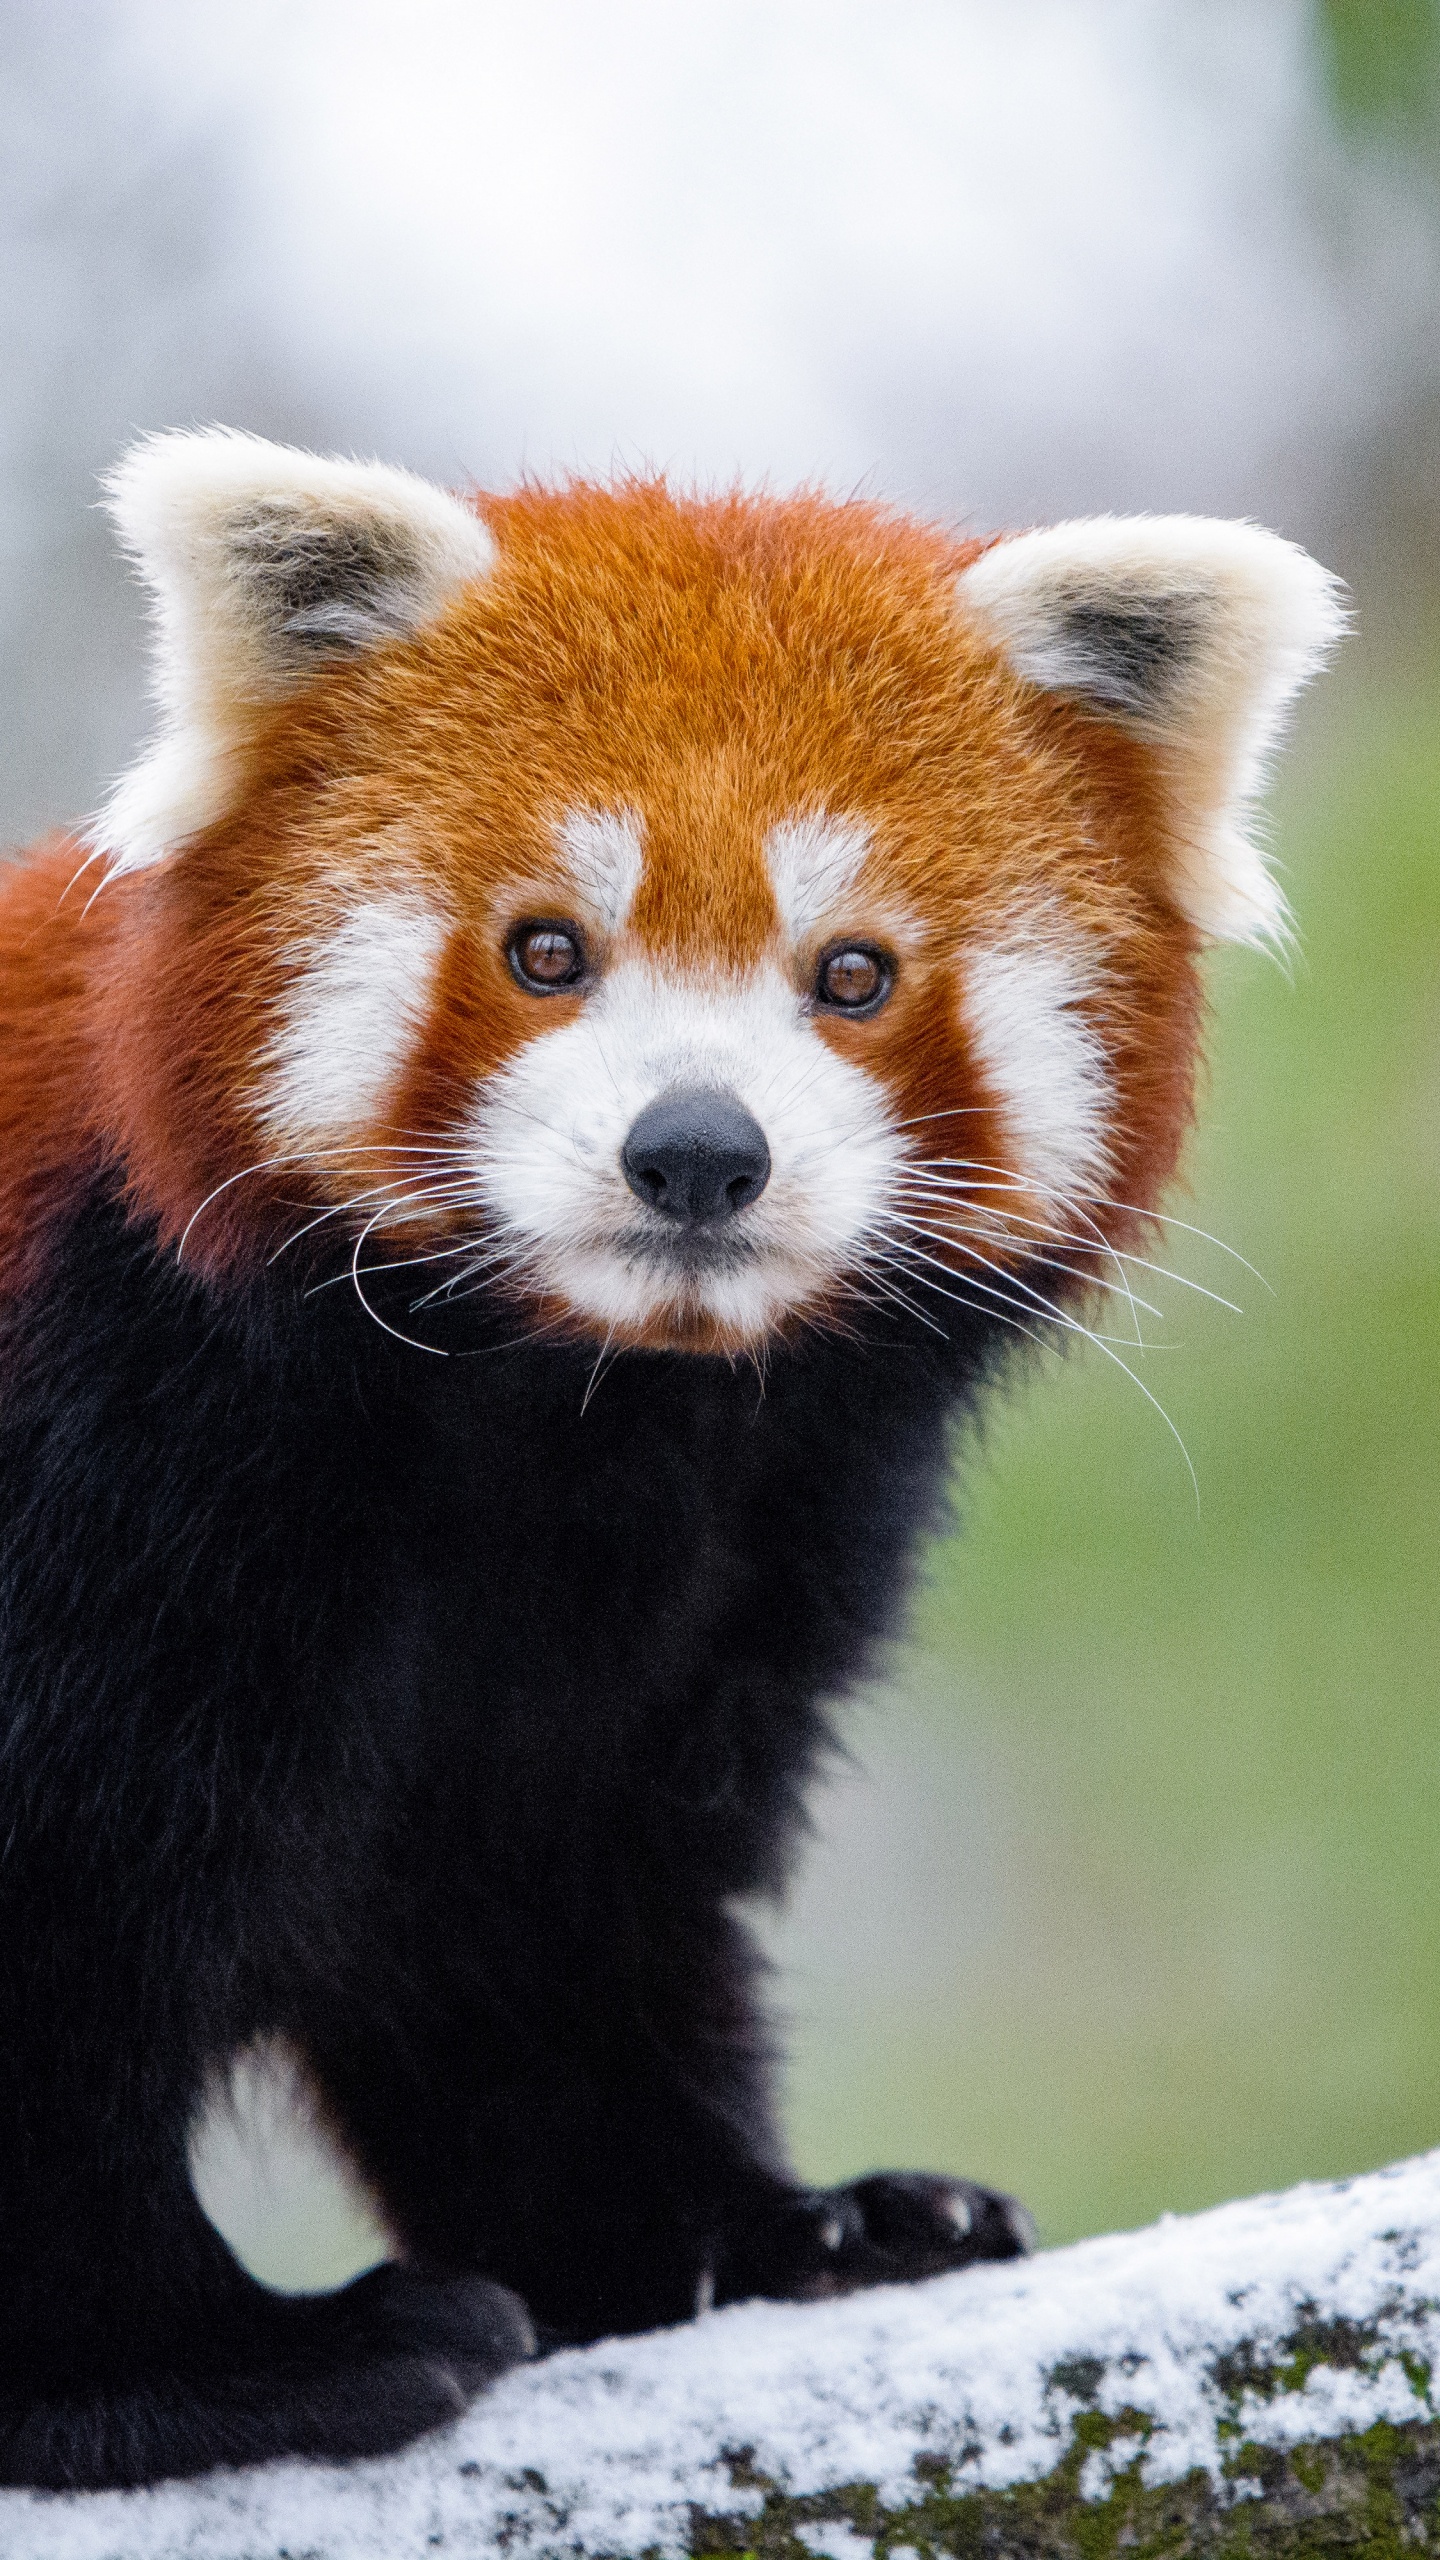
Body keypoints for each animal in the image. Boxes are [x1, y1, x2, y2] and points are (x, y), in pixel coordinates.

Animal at [0, 430, 1332, 2488]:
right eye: (548, 949)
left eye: (853, 975)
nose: (697, 1151)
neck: (583, 1413)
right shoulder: (123, 1435)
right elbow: (65, 1943)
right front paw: (190, 2366)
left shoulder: (721, 1554)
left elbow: (535, 1906)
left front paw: (769, 2232)